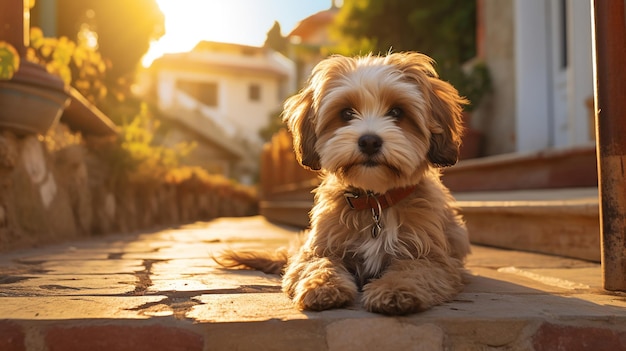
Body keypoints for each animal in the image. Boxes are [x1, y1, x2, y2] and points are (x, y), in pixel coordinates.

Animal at [218, 51, 468, 316]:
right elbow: (318, 263)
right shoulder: (318, 249)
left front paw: (395, 290)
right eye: (347, 113)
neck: (375, 202)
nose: (369, 141)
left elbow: (413, 269)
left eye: (397, 112)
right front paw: (322, 286)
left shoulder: (436, 259)